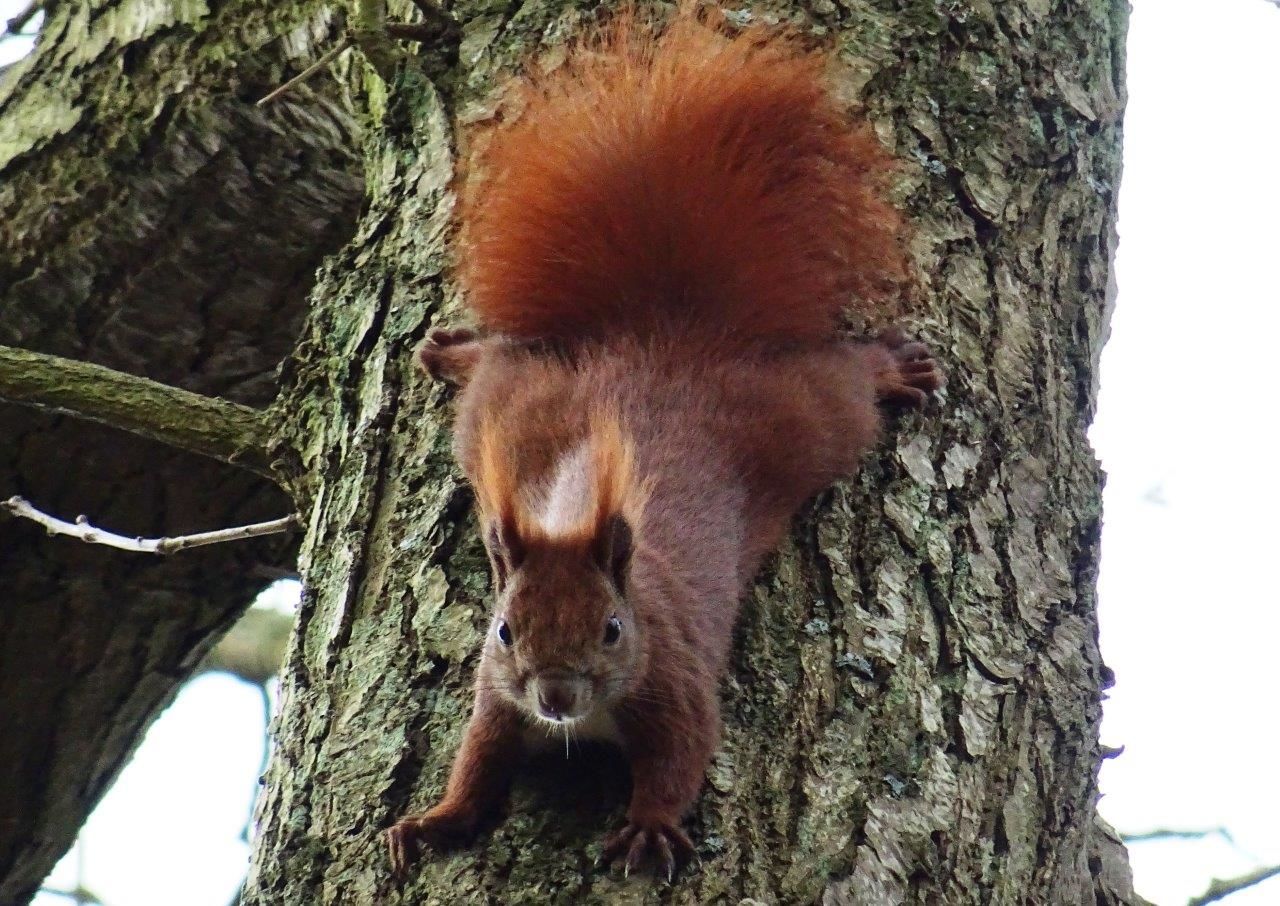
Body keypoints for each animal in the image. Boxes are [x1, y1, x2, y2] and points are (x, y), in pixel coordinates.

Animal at [381, 5, 942, 885]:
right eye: (505, 629)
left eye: (613, 629)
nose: (556, 697)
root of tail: (661, 337)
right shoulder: (495, 699)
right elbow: (474, 768)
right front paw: (433, 822)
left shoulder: (673, 681)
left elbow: (682, 759)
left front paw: (648, 828)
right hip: (508, 406)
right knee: (497, 366)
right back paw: (455, 351)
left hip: (802, 420)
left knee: (845, 386)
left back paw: (891, 367)